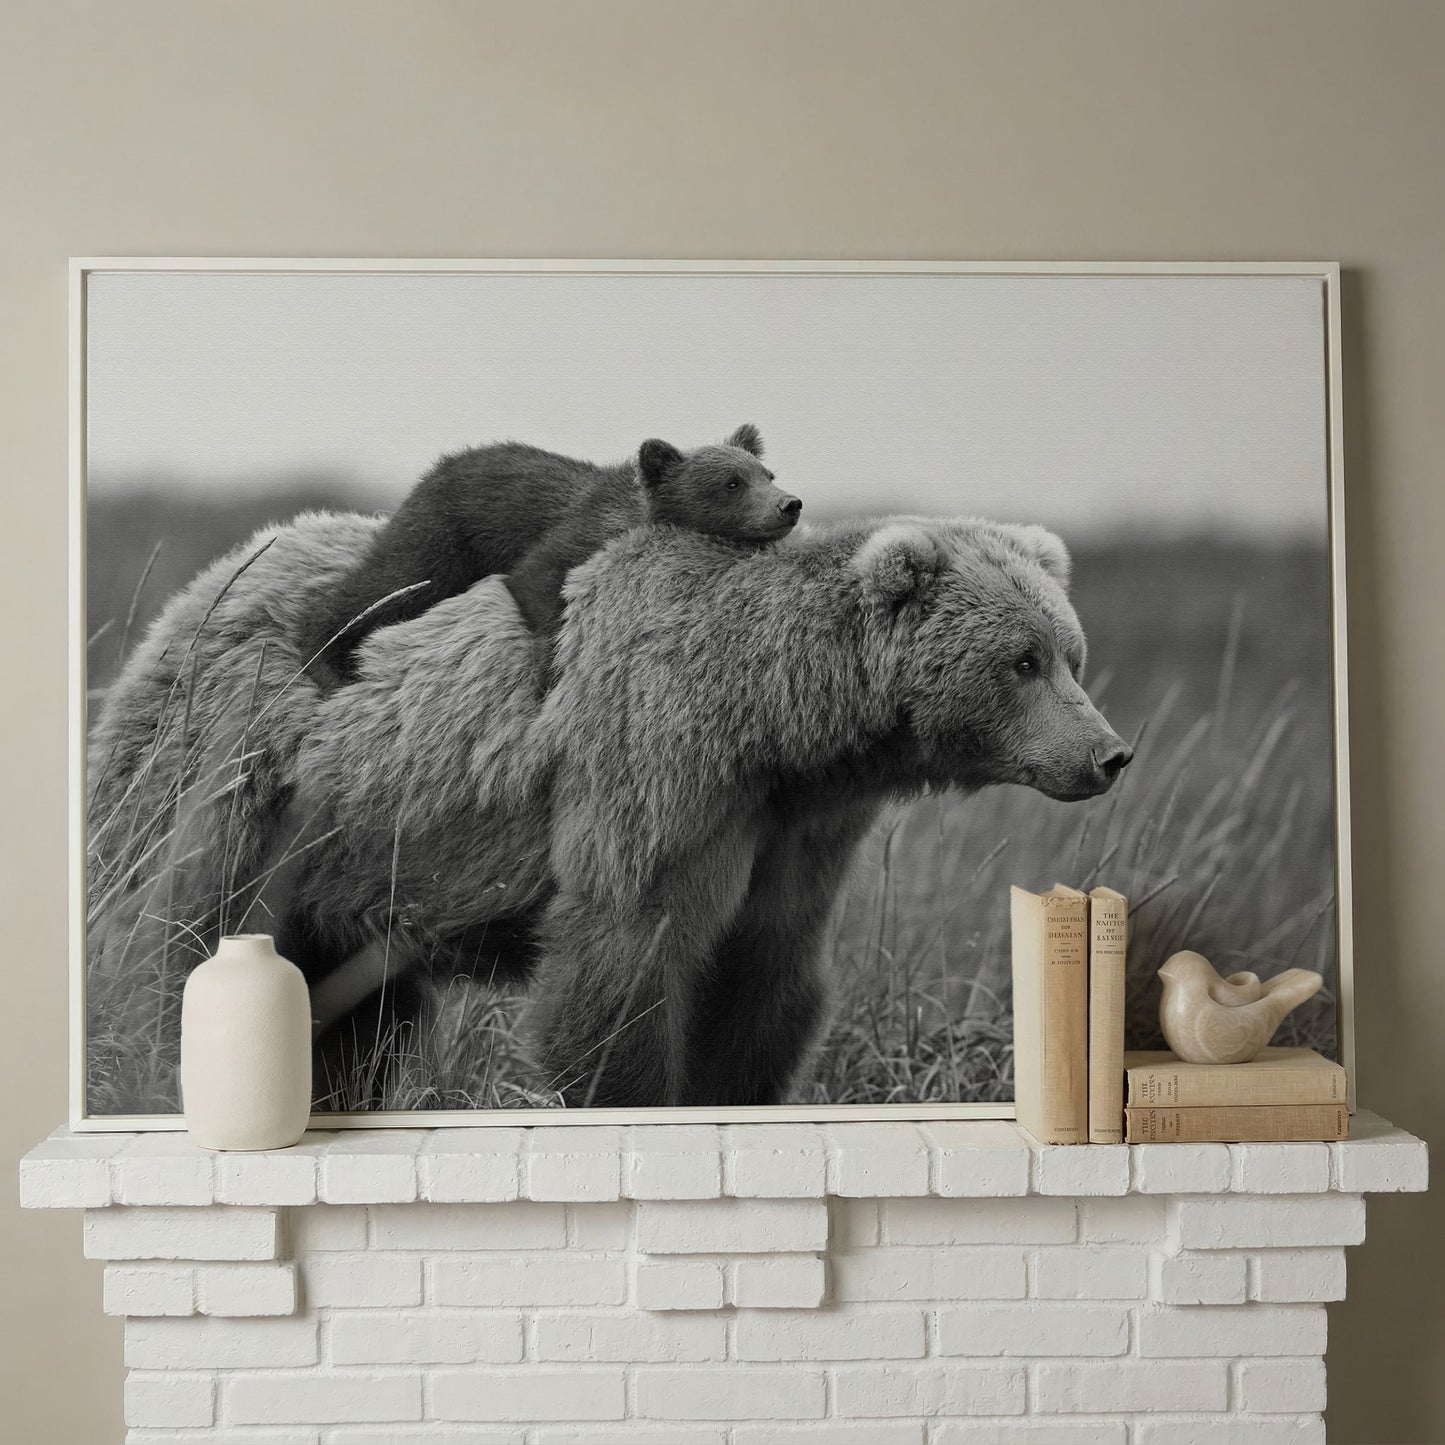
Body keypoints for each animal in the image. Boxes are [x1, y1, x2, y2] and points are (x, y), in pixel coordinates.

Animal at [86, 504, 1131, 1113]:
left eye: (1070, 651)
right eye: (1022, 660)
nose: (1107, 753)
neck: (776, 723)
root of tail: (207, 580)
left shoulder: (793, 831)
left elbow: (763, 979)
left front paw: (733, 1087)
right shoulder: (657, 772)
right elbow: (624, 961)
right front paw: (628, 1091)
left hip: (356, 864)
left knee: (359, 1012)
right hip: (242, 781)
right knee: (184, 932)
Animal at [297, 423, 801, 686]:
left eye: (767, 473)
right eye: (732, 483)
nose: (789, 504)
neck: (633, 515)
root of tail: (436, 468)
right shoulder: (573, 534)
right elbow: (537, 579)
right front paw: (549, 668)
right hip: (441, 537)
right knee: (386, 586)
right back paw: (326, 658)